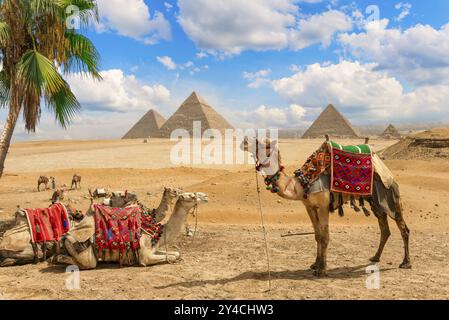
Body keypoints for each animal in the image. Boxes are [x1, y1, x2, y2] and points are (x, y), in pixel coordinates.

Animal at [51, 192, 209, 270]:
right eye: (192, 196)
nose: (206, 196)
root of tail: (65, 236)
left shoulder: (153, 248)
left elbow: (175, 254)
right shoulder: (145, 256)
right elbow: (162, 258)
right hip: (83, 251)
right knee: (87, 263)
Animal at [242, 136, 410, 276]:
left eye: (263, 143)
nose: (244, 140)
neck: (302, 183)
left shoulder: (323, 206)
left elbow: (324, 236)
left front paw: (322, 269)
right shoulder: (309, 207)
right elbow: (317, 235)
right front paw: (315, 264)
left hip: (390, 195)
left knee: (403, 228)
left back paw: (406, 263)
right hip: (376, 202)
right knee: (385, 229)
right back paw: (375, 257)